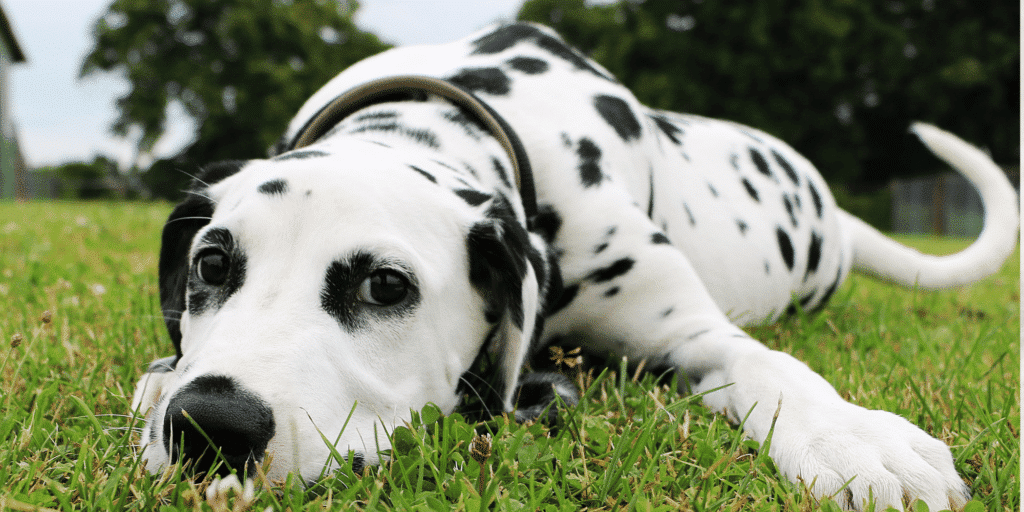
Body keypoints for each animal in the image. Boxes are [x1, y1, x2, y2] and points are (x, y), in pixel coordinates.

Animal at [132, 23, 1019, 512]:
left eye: (386, 285)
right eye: (212, 262)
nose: (211, 425)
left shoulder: (696, 332)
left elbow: (774, 369)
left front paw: (854, 436)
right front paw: (158, 381)